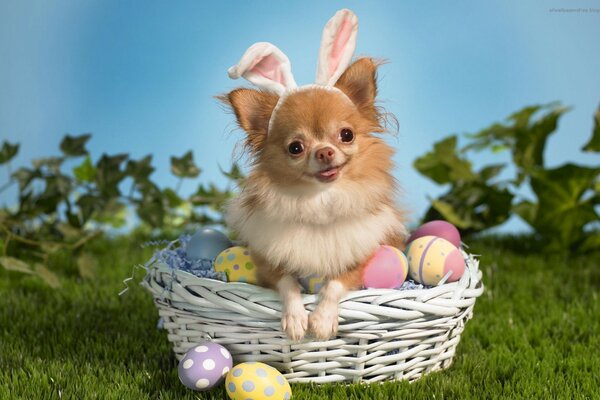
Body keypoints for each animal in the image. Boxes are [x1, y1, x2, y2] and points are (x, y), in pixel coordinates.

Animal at [220, 10, 408, 340]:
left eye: (346, 135)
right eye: (295, 147)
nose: (324, 152)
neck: (320, 200)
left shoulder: (361, 260)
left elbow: (334, 284)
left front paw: (321, 320)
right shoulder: (266, 261)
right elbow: (288, 283)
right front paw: (296, 318)